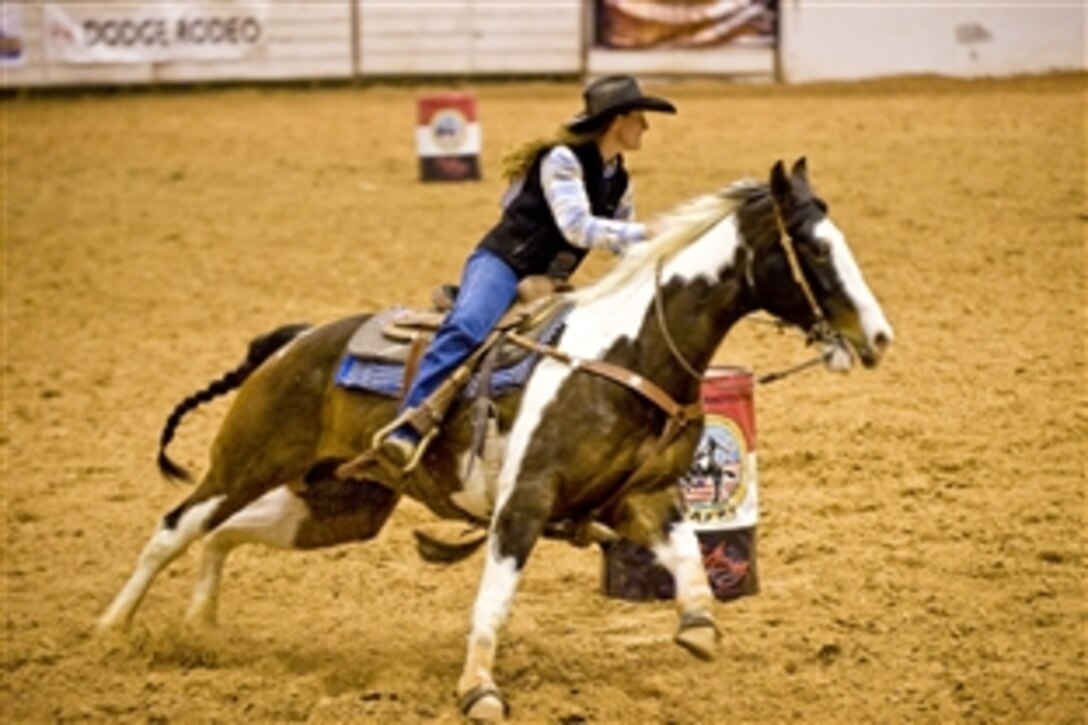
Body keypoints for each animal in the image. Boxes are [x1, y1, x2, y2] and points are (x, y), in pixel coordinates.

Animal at [97, 160, 892, 718]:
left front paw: (698, 627)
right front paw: (479, 689)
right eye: (816, 250)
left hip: (337, 506)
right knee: (174, 528)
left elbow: (689, 557)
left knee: (223, 534)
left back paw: (200, 627)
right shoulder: (525, 500)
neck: (628, 351)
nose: (878, 336)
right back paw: (107, 633)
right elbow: (495, 598)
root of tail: (291, 342)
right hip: (245, 460)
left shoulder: (643, 496)